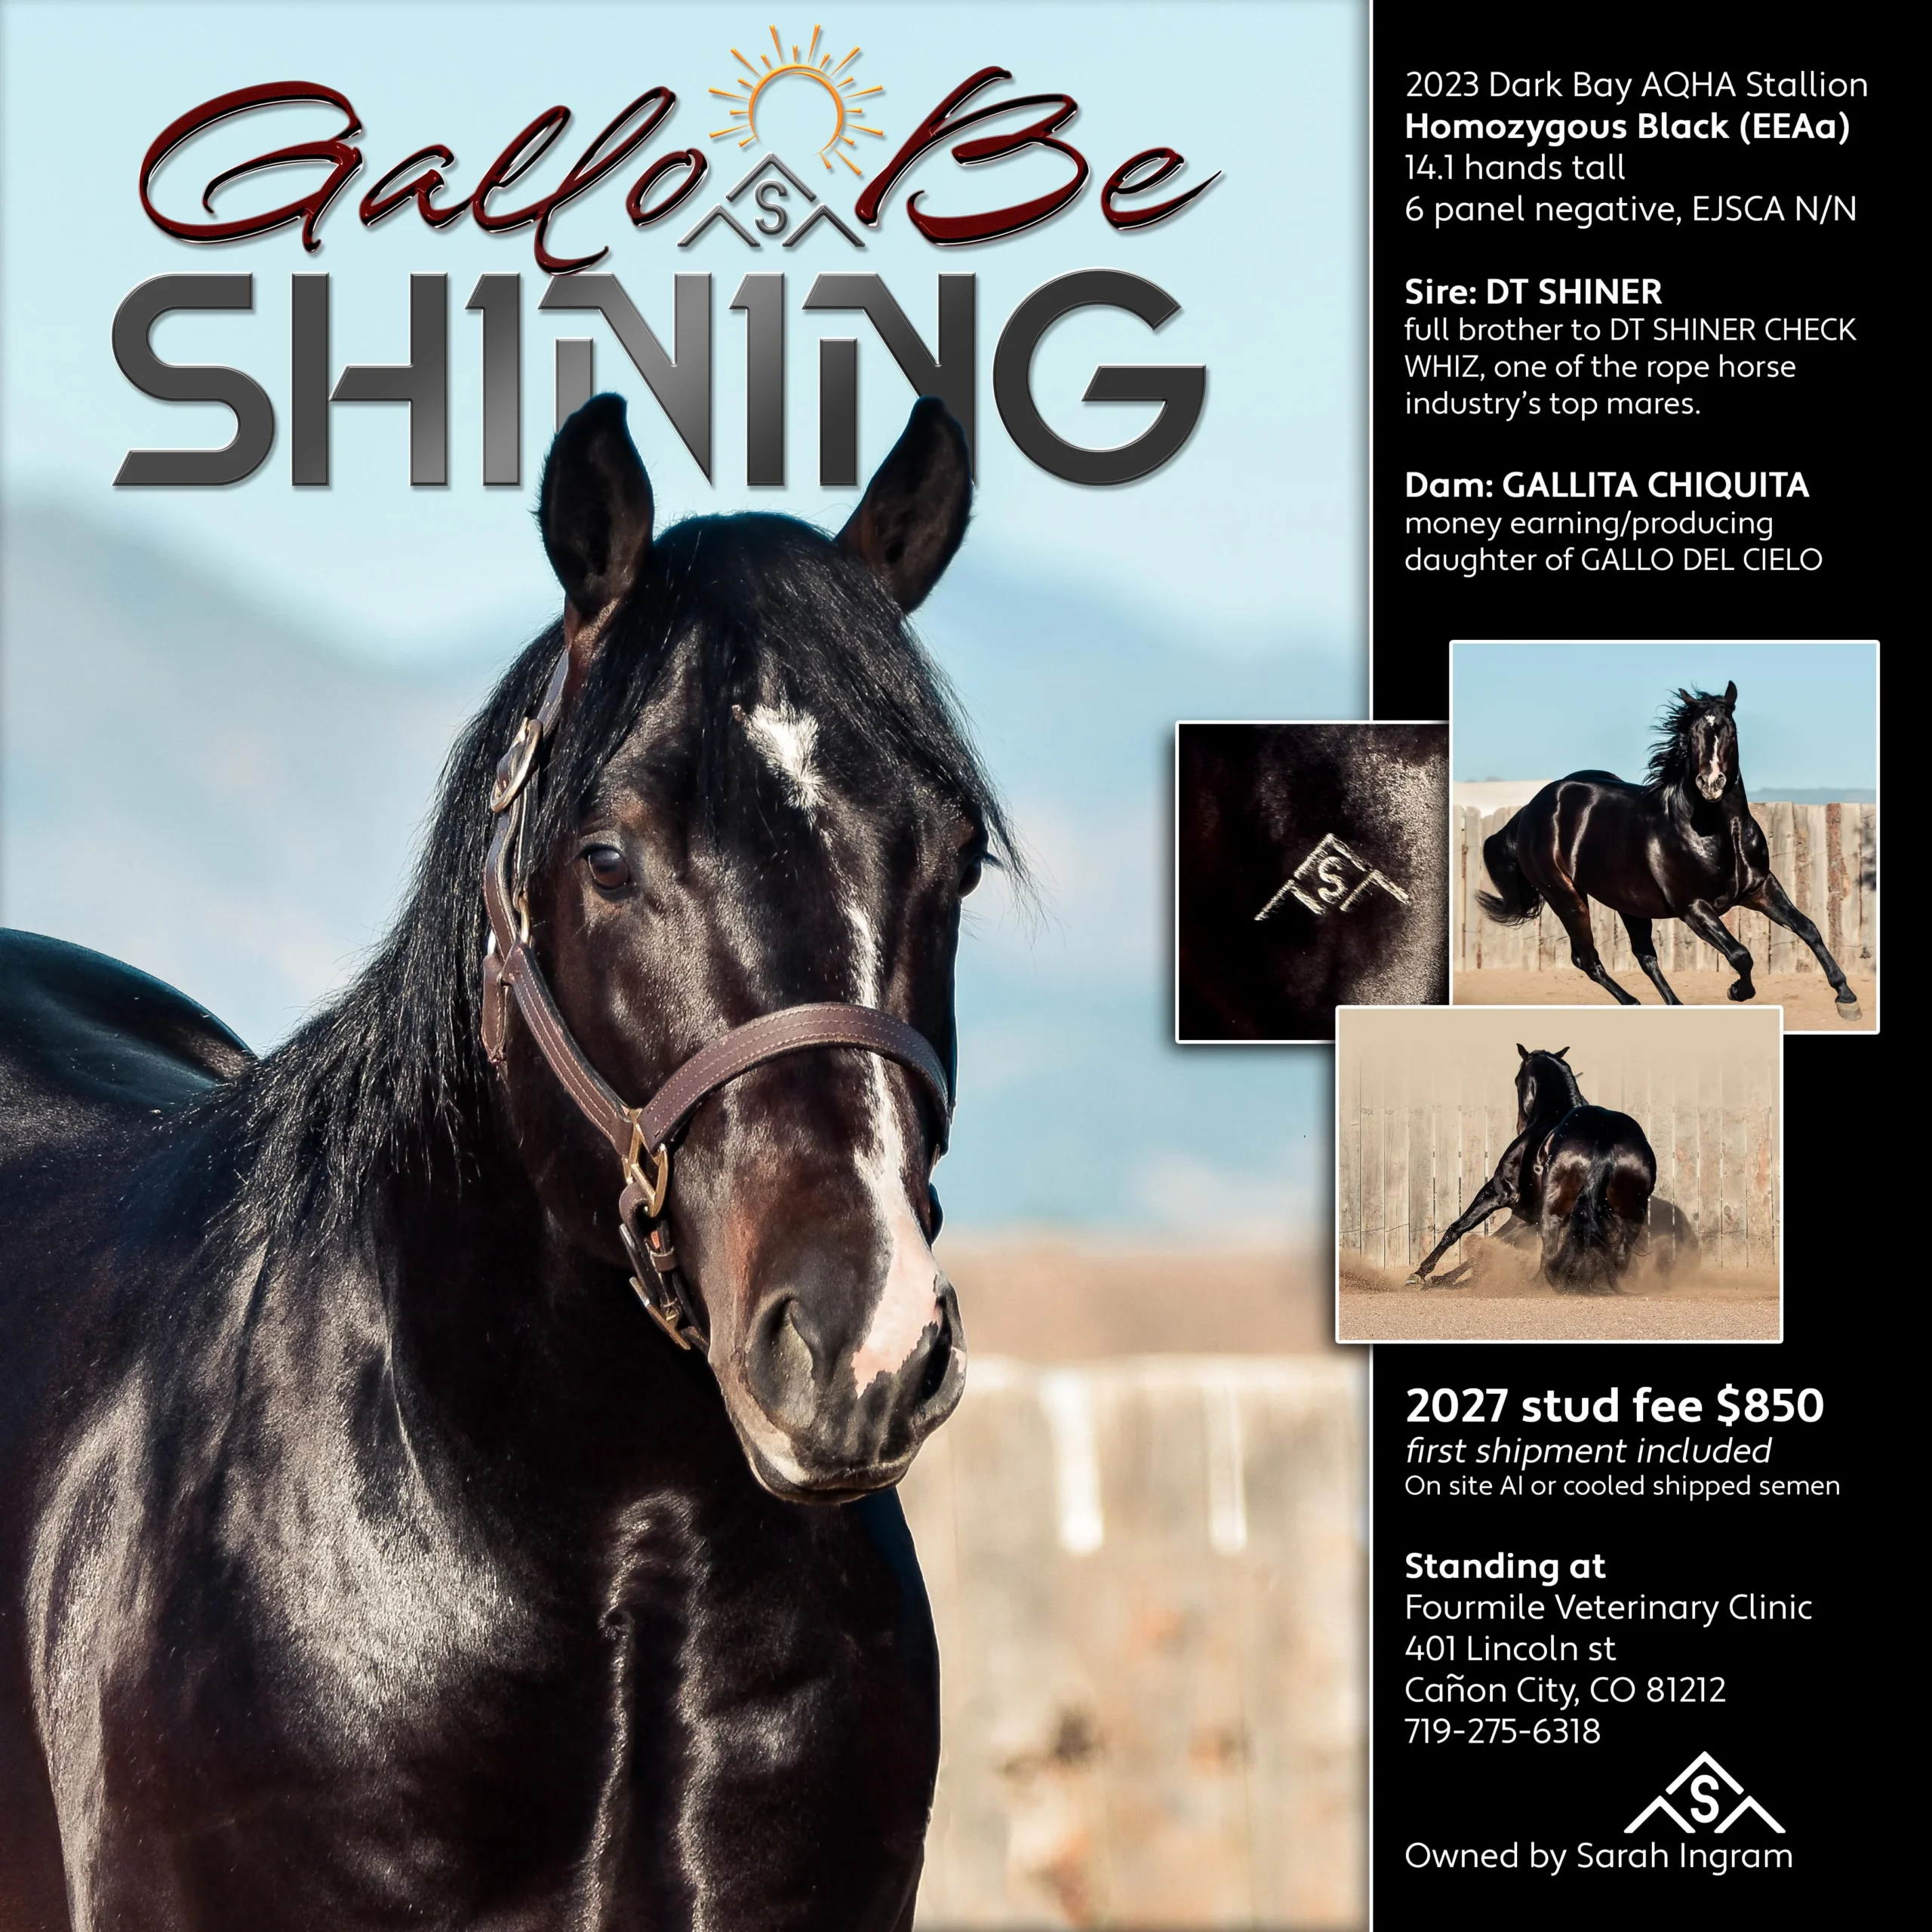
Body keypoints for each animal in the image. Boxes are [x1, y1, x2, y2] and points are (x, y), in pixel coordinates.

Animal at [1405, 1046, 1657, 1294]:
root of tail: (1604, 1135)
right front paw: (1445, 1279)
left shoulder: (1497, 1192)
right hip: (1631, 1218)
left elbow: (1457, 1228)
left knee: (1550, 1252)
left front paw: (1420, 1274)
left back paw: (1536, 1286)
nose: (1519, 1124)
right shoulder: (1523, 1217)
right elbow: (1495, 1242)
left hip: (1553, 1212)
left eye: (1517, 1079)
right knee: (1620, 1257)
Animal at [1476, 681, 1862, 1017]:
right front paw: (1737, 991)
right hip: (1566, 897)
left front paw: (1846, 997)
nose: (1711, 783)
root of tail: (1531, 809)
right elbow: (1741, 955)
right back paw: (1632, 1004)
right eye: (1691, 734)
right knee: (1588, 960)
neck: (1719, 833)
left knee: (1644, 957)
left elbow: (1808, 927)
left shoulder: (1760, 888)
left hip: (1628, 903)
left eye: (1730, 731)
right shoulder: (1693, 907)